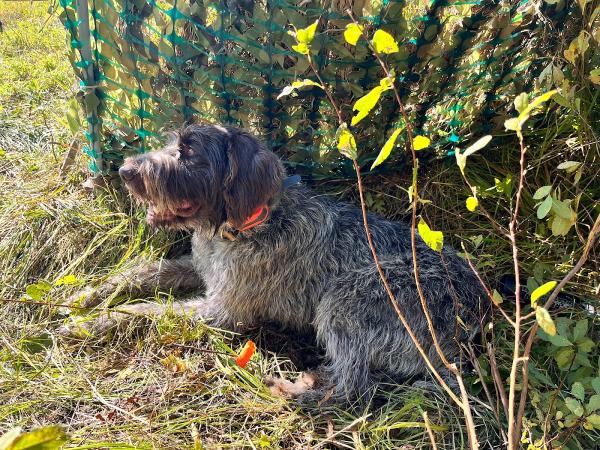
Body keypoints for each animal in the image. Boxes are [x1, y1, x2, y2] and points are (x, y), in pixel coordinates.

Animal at [64, 124, 488, 404]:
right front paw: (87, 297)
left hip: (346, 299)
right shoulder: (199, 269)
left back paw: (291, 388)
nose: (126, 171)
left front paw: (93, 323)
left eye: (190, 152)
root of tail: (475, 313)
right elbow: (143, 274)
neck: (243, 227)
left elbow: (147, 312)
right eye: (171, 143)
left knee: (352, 386)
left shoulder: (222, 311)